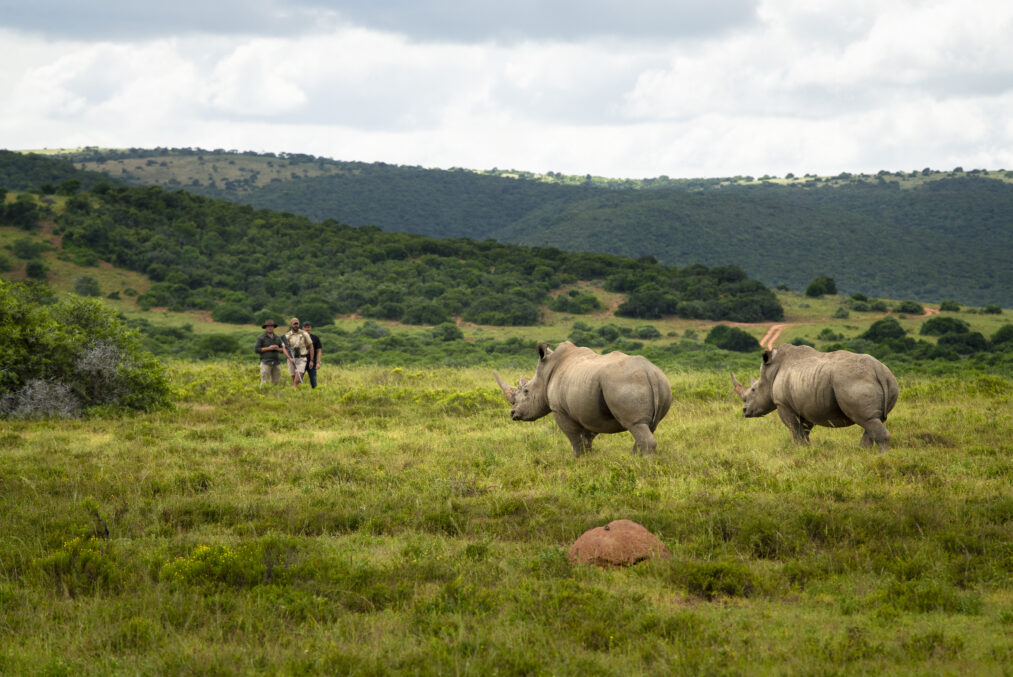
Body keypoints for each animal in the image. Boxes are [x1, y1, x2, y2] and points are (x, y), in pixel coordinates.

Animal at [494, 341, 672, 455]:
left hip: (625, 382)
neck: (545, 375)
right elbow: (587, 438)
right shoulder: (587, 410)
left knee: (636, 425)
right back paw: (634, 458)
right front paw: (589, 459)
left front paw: (577, 460)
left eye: (526, 391)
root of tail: (650, 372)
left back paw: (642, 465)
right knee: (646, 427)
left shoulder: (559, 410)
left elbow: (574, 438)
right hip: (662, 383)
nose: (513, 414)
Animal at [731, 344, 899, 450]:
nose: (744, 411)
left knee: (867, 420)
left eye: (753, 390)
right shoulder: (807, 404)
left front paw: (798, 450)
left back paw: (881, 458)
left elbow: (794, 428)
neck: (770, 373)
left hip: (852, 379)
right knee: (872, 422)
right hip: (891, 382)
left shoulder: (783, 404)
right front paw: (806, 449)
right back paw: (863, 453)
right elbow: (804, 431)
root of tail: (879, 369)